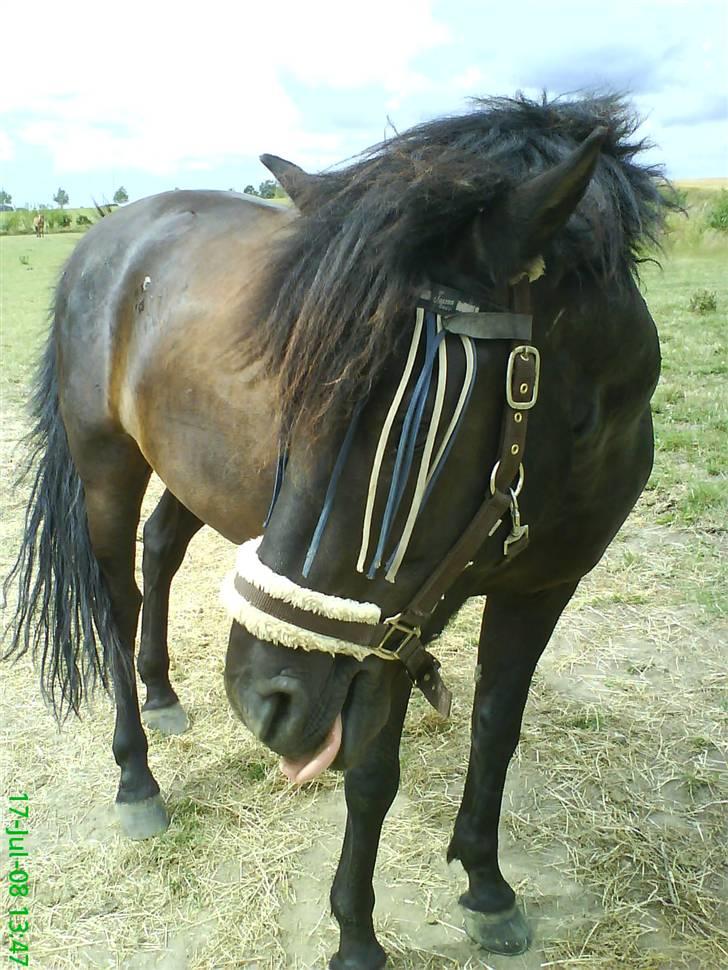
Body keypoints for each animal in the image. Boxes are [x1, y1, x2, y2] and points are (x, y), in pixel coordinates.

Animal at [5, 94, 676, 964]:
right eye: (290, 387)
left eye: (417, 420)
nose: (260, 697)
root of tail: (111, 233)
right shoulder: (385, 631)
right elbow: (371, 774)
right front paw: (357, 934)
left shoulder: (539, 587)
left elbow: (496, 730)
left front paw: (487, 885)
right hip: (105, 463)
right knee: (116, 603)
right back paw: (136, 778)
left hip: (189, 470)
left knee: (161, 552)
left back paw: (162, 692)